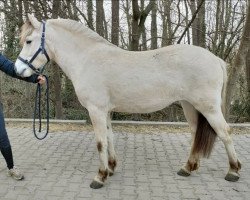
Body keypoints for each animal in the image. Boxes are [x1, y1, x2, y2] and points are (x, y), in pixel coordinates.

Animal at [13, 14, 240, 189]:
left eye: (29, 41)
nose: (18, 70)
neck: (87, 59)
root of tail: (215, 59)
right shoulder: (105, 111)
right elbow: (110, 137)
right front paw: (111, 167)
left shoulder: (96, 110)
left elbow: (100, 142)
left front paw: (100, 176)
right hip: (189, 106)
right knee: (195, 134)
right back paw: (187, 168)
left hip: (208, 107)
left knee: (225, 132)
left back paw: (233, 171)